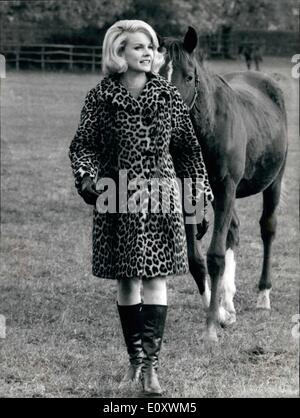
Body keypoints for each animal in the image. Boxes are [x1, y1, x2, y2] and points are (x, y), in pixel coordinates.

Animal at [159, 28, 288, 342]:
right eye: (155, 73)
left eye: (188, 76)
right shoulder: (189, 191)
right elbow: (196, 258)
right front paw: (219, 312)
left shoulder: (226, 187)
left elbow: (215, 255)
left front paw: (210, 327)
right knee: (234, 230)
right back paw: (228, 300)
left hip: (272, 181)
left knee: (267, 229)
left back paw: (263, 295)